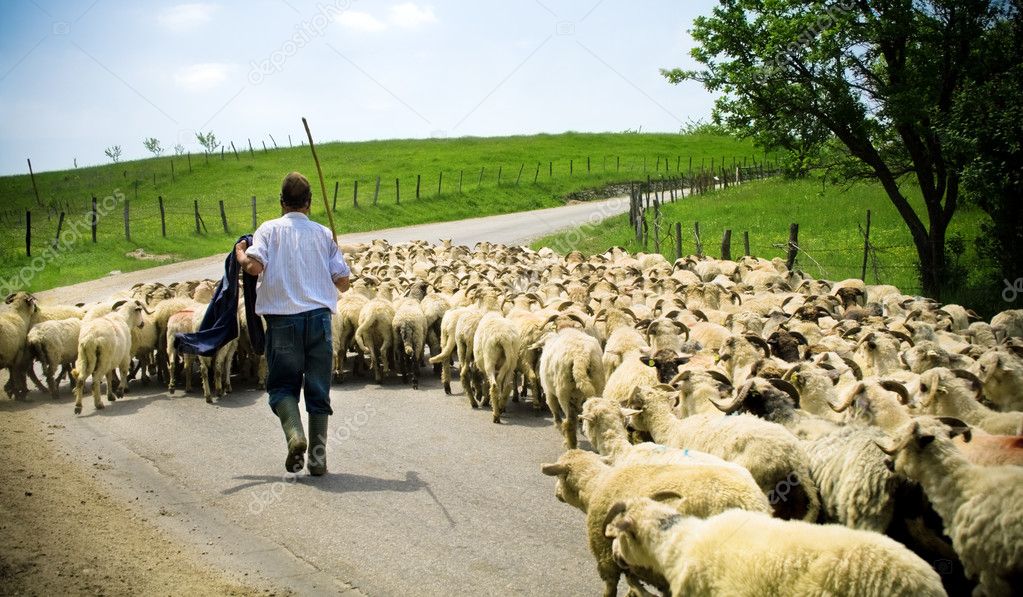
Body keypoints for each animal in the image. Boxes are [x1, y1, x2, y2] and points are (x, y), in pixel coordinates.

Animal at [544, 447, 769, 597]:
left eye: (560, 477)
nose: (556, 493)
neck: (595, 485)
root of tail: (748, 502)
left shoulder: (605, 555)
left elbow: (611, 588)